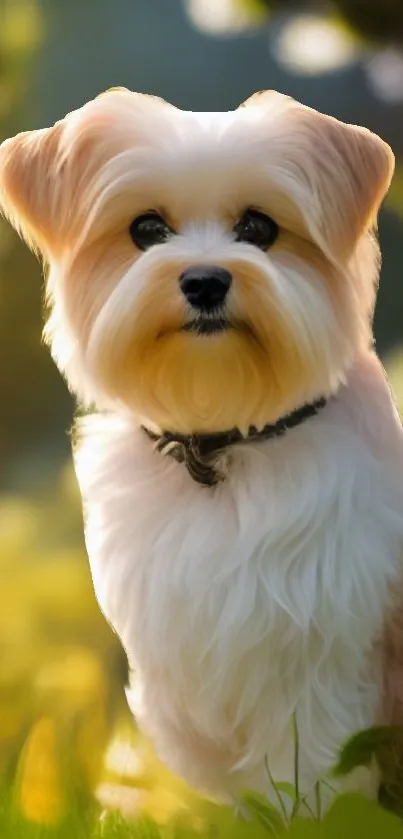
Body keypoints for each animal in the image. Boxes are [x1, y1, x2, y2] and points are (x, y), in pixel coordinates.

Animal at [0, 90, 403, 808]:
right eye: (146, 229)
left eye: (259, 227)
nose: (206, 280)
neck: (220, 446)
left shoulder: (317, 654)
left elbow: (309, 777)